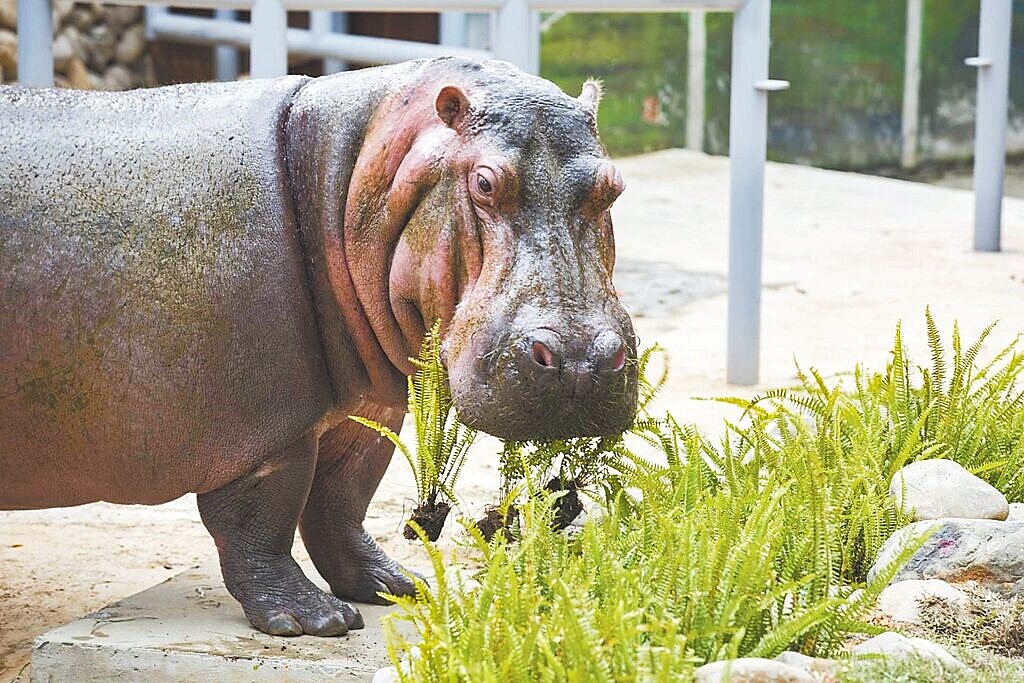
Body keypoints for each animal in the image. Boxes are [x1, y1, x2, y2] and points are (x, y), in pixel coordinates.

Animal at [0, 56, 634, 638]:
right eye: (483, 182)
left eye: (614, 187)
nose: (581, 361)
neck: (346, 174)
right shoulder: (265, 427)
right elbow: (264, 517)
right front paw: (316, 620)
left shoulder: (364, 410)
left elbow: (342, 502)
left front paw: (402, 588)